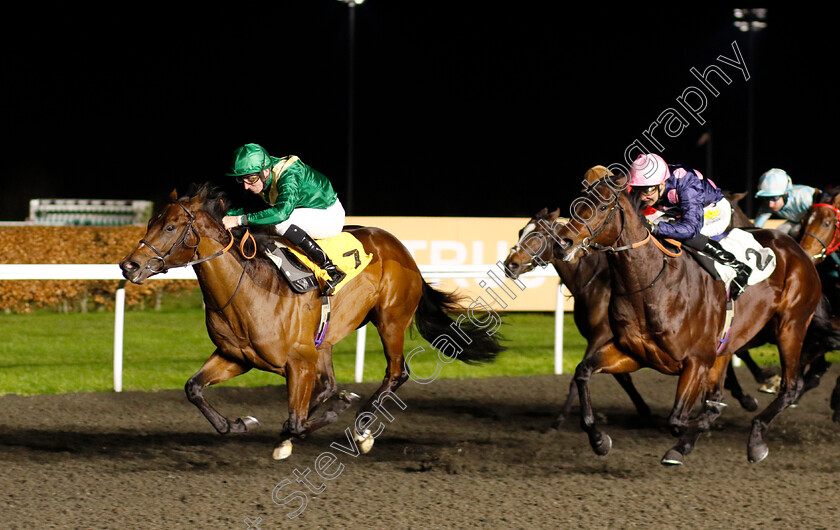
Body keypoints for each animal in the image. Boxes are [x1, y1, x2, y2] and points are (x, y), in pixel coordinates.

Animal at [120, 185, 502, 458]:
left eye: (170, 226)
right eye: (150, 223)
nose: (129, 265)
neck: (249, 290)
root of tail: (400, 248)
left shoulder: (298, 362)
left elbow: (297, 421)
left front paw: (332, 414)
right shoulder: (237, 357)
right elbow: (194, 388)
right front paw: (242, 423)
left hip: (390, 320)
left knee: (396, 373)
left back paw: (361, 428)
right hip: (327, 339)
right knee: (329, 383)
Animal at [548, 173, 832, 462]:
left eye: (603, 207)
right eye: (577, 204)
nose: (563, 244)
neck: (652, 285)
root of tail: (797, 249)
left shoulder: (697, 361)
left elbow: (678, 420)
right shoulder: (633, 353)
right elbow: (583, 372)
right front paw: (598, 439)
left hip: (791, 326)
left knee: (791, 387)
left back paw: (756, 440)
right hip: (731, 342)